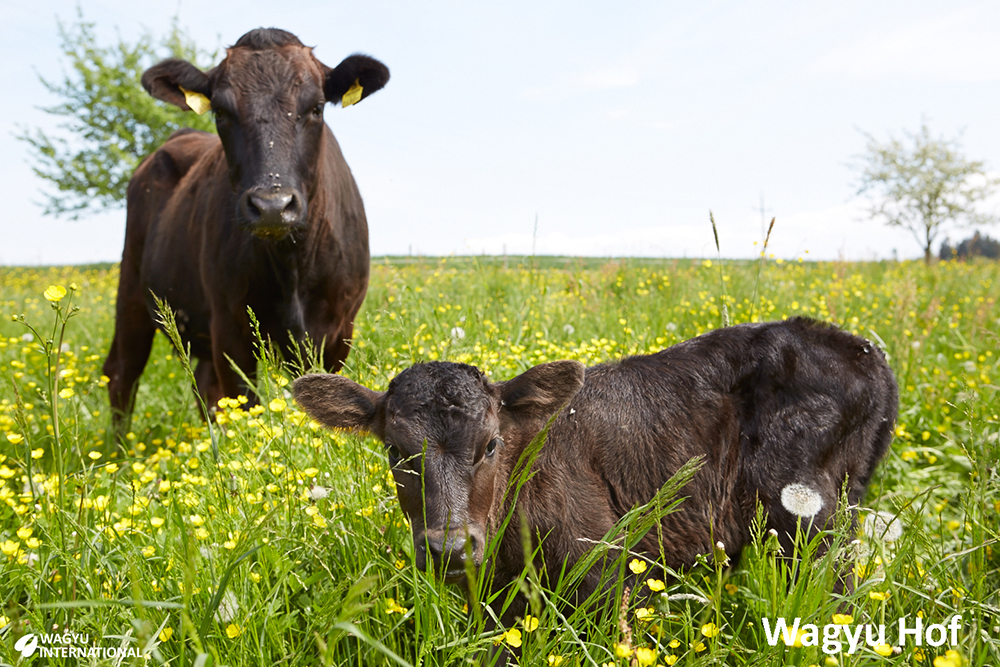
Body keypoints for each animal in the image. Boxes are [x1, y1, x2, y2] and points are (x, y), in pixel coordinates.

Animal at [292, 318, 896, 628]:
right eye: (396, 452)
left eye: (491, 444)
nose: (450, 549)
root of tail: (863, 348)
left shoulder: (606, 572)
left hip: (813, 523)